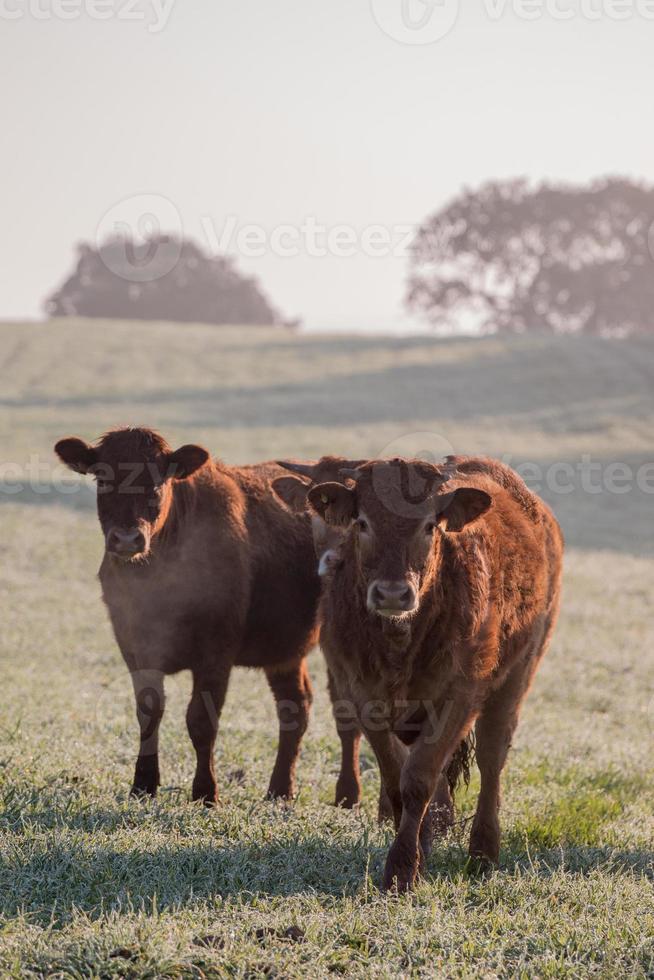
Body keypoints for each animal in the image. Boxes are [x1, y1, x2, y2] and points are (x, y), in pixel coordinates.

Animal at [55, 426, 358, 804]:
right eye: (102, 477)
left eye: (160, 479)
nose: (126, 539)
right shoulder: (136, 647)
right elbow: (149, 712)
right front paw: (143, 784)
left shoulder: (216, 654)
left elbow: (201, 720)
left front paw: (205, 792)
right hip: (284, 651)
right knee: (295, 706)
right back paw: (279, 789)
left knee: (346, 712)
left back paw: (347, 794)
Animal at [308, 456, 564, 892]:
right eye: (362, 522)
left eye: (430, 525)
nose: (393, 594)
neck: (399, 645)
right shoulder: (360, 693)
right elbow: (396, 776)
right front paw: (416, 852)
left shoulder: (460, 696)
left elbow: (418, 779)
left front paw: (401, 869)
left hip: (517, 676)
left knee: (492, 760)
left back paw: (483, 852)